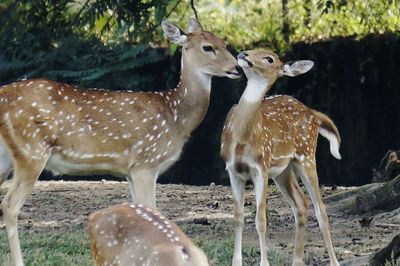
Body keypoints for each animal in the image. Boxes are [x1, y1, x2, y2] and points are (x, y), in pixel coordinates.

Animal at [0, 17, 239, 264]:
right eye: (208, 47)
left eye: (224, 43)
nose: (238, 68)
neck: (175, 117)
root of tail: (3, 94)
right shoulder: (146, 163)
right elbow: (151, 209)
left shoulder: (131, 171)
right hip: (31, 151)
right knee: (9, 205)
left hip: (8, 156)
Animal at [222, 47, 340, 266]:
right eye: (253, 48)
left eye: (269, 58)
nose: (243, 54)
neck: (242, 139)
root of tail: (313, 113)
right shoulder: (233, 169)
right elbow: (237, 217)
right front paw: (236, 262)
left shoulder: (261, 167)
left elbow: (261, 220)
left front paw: (264, 263)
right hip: (284, 170)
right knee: (301, 203)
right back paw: (296, 260)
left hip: (306, 156)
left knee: (321, 210)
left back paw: (334, 261)